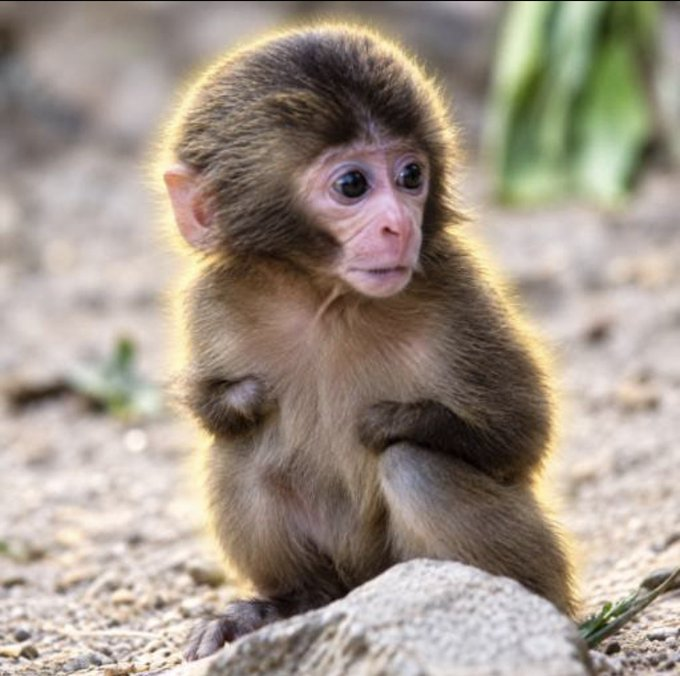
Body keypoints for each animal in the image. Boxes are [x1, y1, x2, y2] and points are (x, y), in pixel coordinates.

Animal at [162, 25, 575, 661]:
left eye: (411, 177)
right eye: (352, 184)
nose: (398, 226)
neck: (328, 299)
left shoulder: (458, 296)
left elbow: (522, 437)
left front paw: (390, 420)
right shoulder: (214, 301)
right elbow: (223, 407)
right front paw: (242, 399)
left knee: (415, 468)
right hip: (344, 576)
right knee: (243, 450)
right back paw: (288, 605)